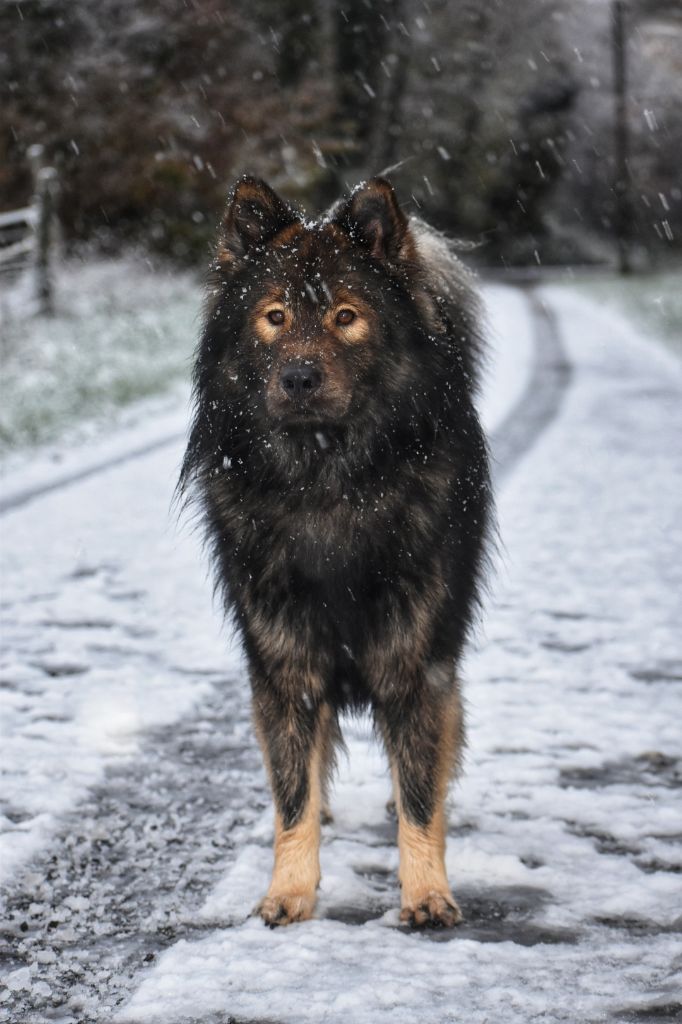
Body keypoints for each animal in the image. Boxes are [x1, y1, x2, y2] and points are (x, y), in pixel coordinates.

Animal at [179, 176, 489, 929]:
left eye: (346, 317)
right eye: (274, 318)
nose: (298, 377)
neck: (328, 483)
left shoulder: (418, 662)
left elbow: (419, 792)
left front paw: (426, 892)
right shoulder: (283, 662)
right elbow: (292, 793)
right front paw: (289, 891)